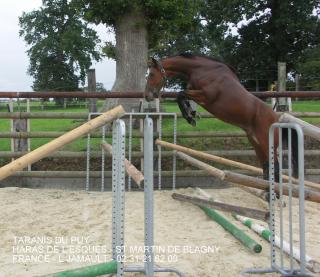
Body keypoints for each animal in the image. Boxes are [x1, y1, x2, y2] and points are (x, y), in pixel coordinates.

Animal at [144, 53, 298, 179]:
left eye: (151, 75)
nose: (147, 96)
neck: (203, 70)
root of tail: (277, 119)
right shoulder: (194, 91)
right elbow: (183, 96)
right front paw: (192, 113)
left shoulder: (205, 96)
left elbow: (180, 94)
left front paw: (190, 117)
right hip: (256, 144)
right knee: (266, 167)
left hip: (267, 143)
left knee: (275, 168)